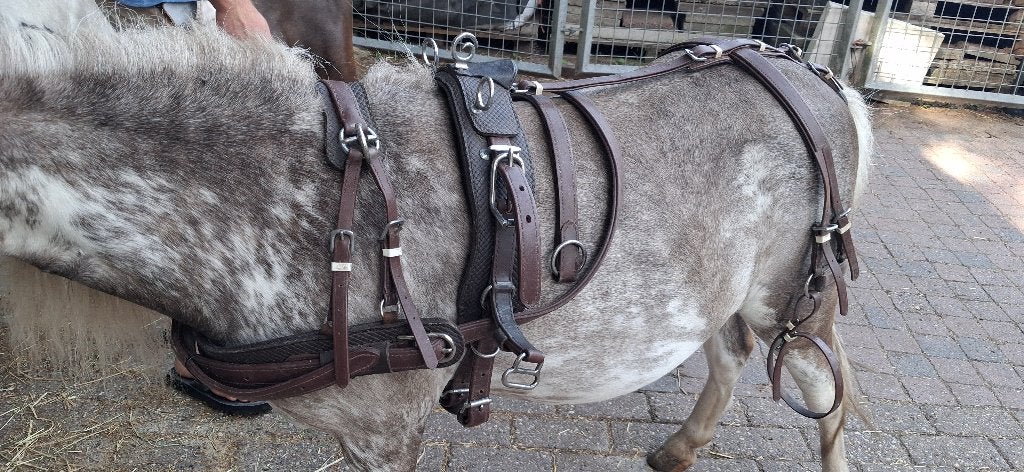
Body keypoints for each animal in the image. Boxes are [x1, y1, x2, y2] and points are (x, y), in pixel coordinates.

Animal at [0, 1, 872, 470]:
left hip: (794, 293)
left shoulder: (385, 429)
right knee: (730, 352)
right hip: (726, 290)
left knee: (829, 394)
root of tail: (815, 74)